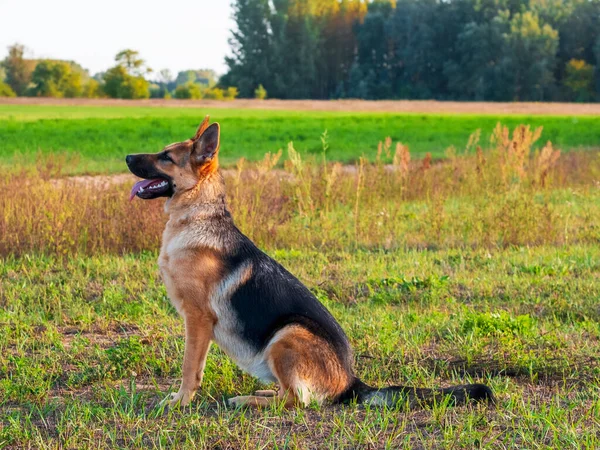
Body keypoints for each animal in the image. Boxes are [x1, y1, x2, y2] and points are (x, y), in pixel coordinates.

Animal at [125, 117, 492, 408]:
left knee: (297, 401)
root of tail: (352, 382)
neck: (196, 215)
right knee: (291, 394)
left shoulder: (198, 319)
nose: (127, 156)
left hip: (287, 333)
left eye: (166, 157)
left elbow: (190, 368)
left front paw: (179, 402)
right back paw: (261, 394)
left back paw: (247, 400)